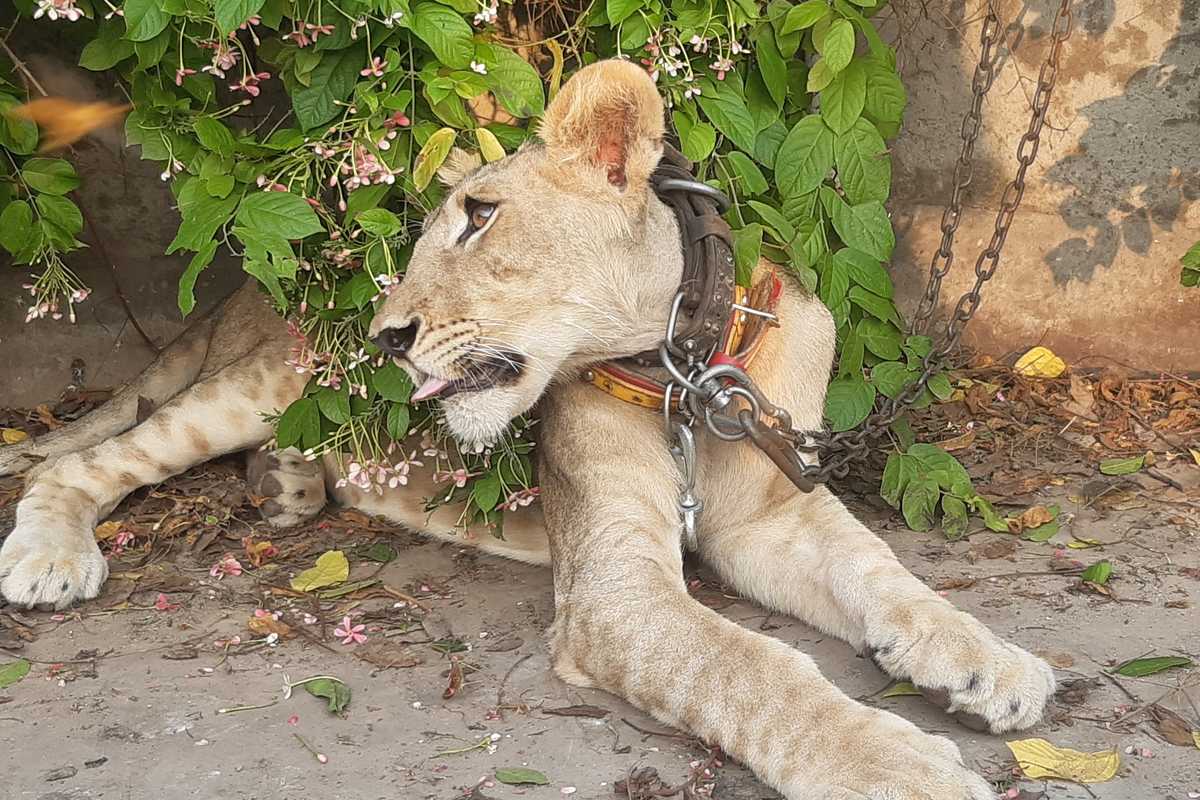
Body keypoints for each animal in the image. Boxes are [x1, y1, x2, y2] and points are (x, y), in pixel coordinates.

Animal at [0, 60, 1054, 799]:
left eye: (480, 217)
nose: (385, 336)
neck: (689, 372)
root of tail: (244, 296)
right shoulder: (615, 593)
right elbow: (755, 671)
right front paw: (900, 767)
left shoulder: (770, 517)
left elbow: (885, 572)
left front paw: (990, 663)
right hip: (258, 385)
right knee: (86, 464)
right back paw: (53, 555)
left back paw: (288, 486)